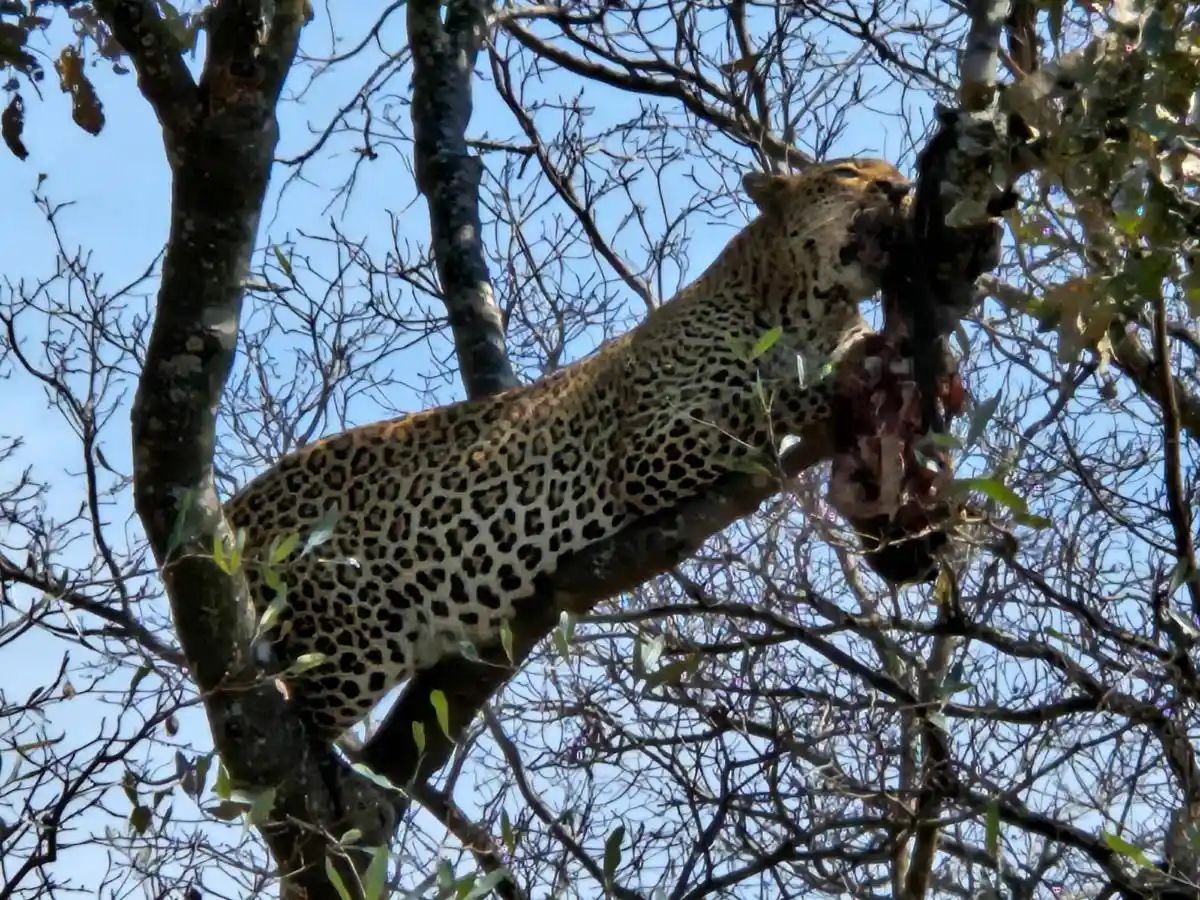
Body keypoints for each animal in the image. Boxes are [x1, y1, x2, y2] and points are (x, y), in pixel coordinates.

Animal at [224, 158, 913, 743]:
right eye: (846, 172)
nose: (900, 189)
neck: (806, 309)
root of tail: (237, 505)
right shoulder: (648, 445)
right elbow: (765, 398)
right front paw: (841, 379)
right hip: (343, 635)